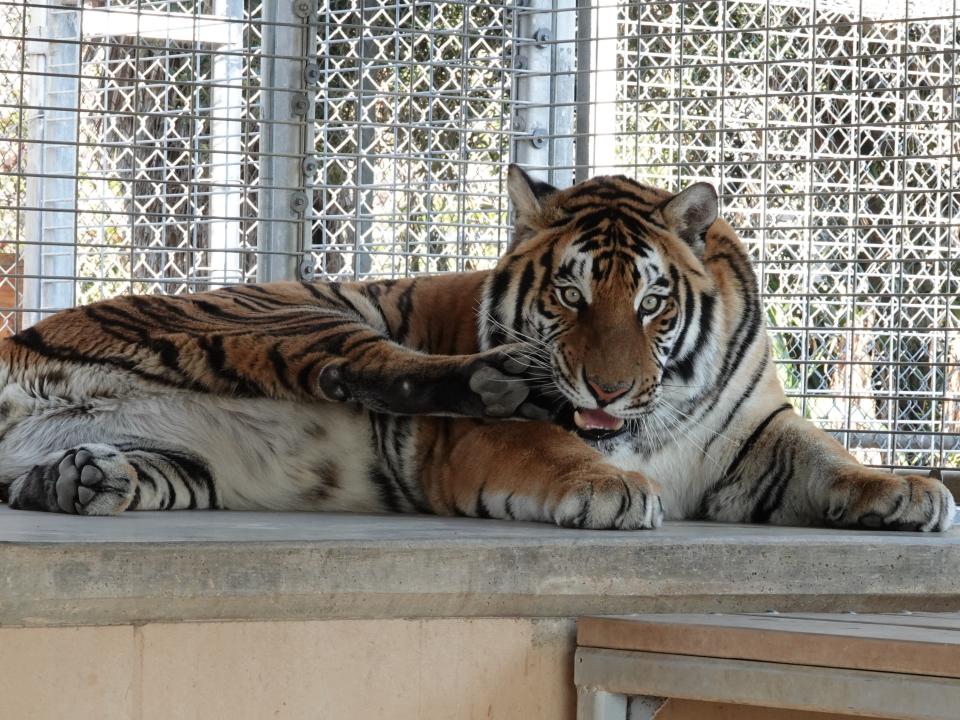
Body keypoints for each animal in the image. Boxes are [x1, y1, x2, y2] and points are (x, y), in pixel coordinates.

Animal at [0, 166, 952, 532]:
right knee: (367, 367)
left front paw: (909, 490)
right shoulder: (482, 444)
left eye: (651, 303)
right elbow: (548, 445)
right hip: (291, 312)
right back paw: (494, 379)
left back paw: (79, 478)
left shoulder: (757, 432)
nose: (606, 391)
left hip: (179, 462)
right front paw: (610, 490)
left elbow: (828, 457)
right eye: (570, 295)